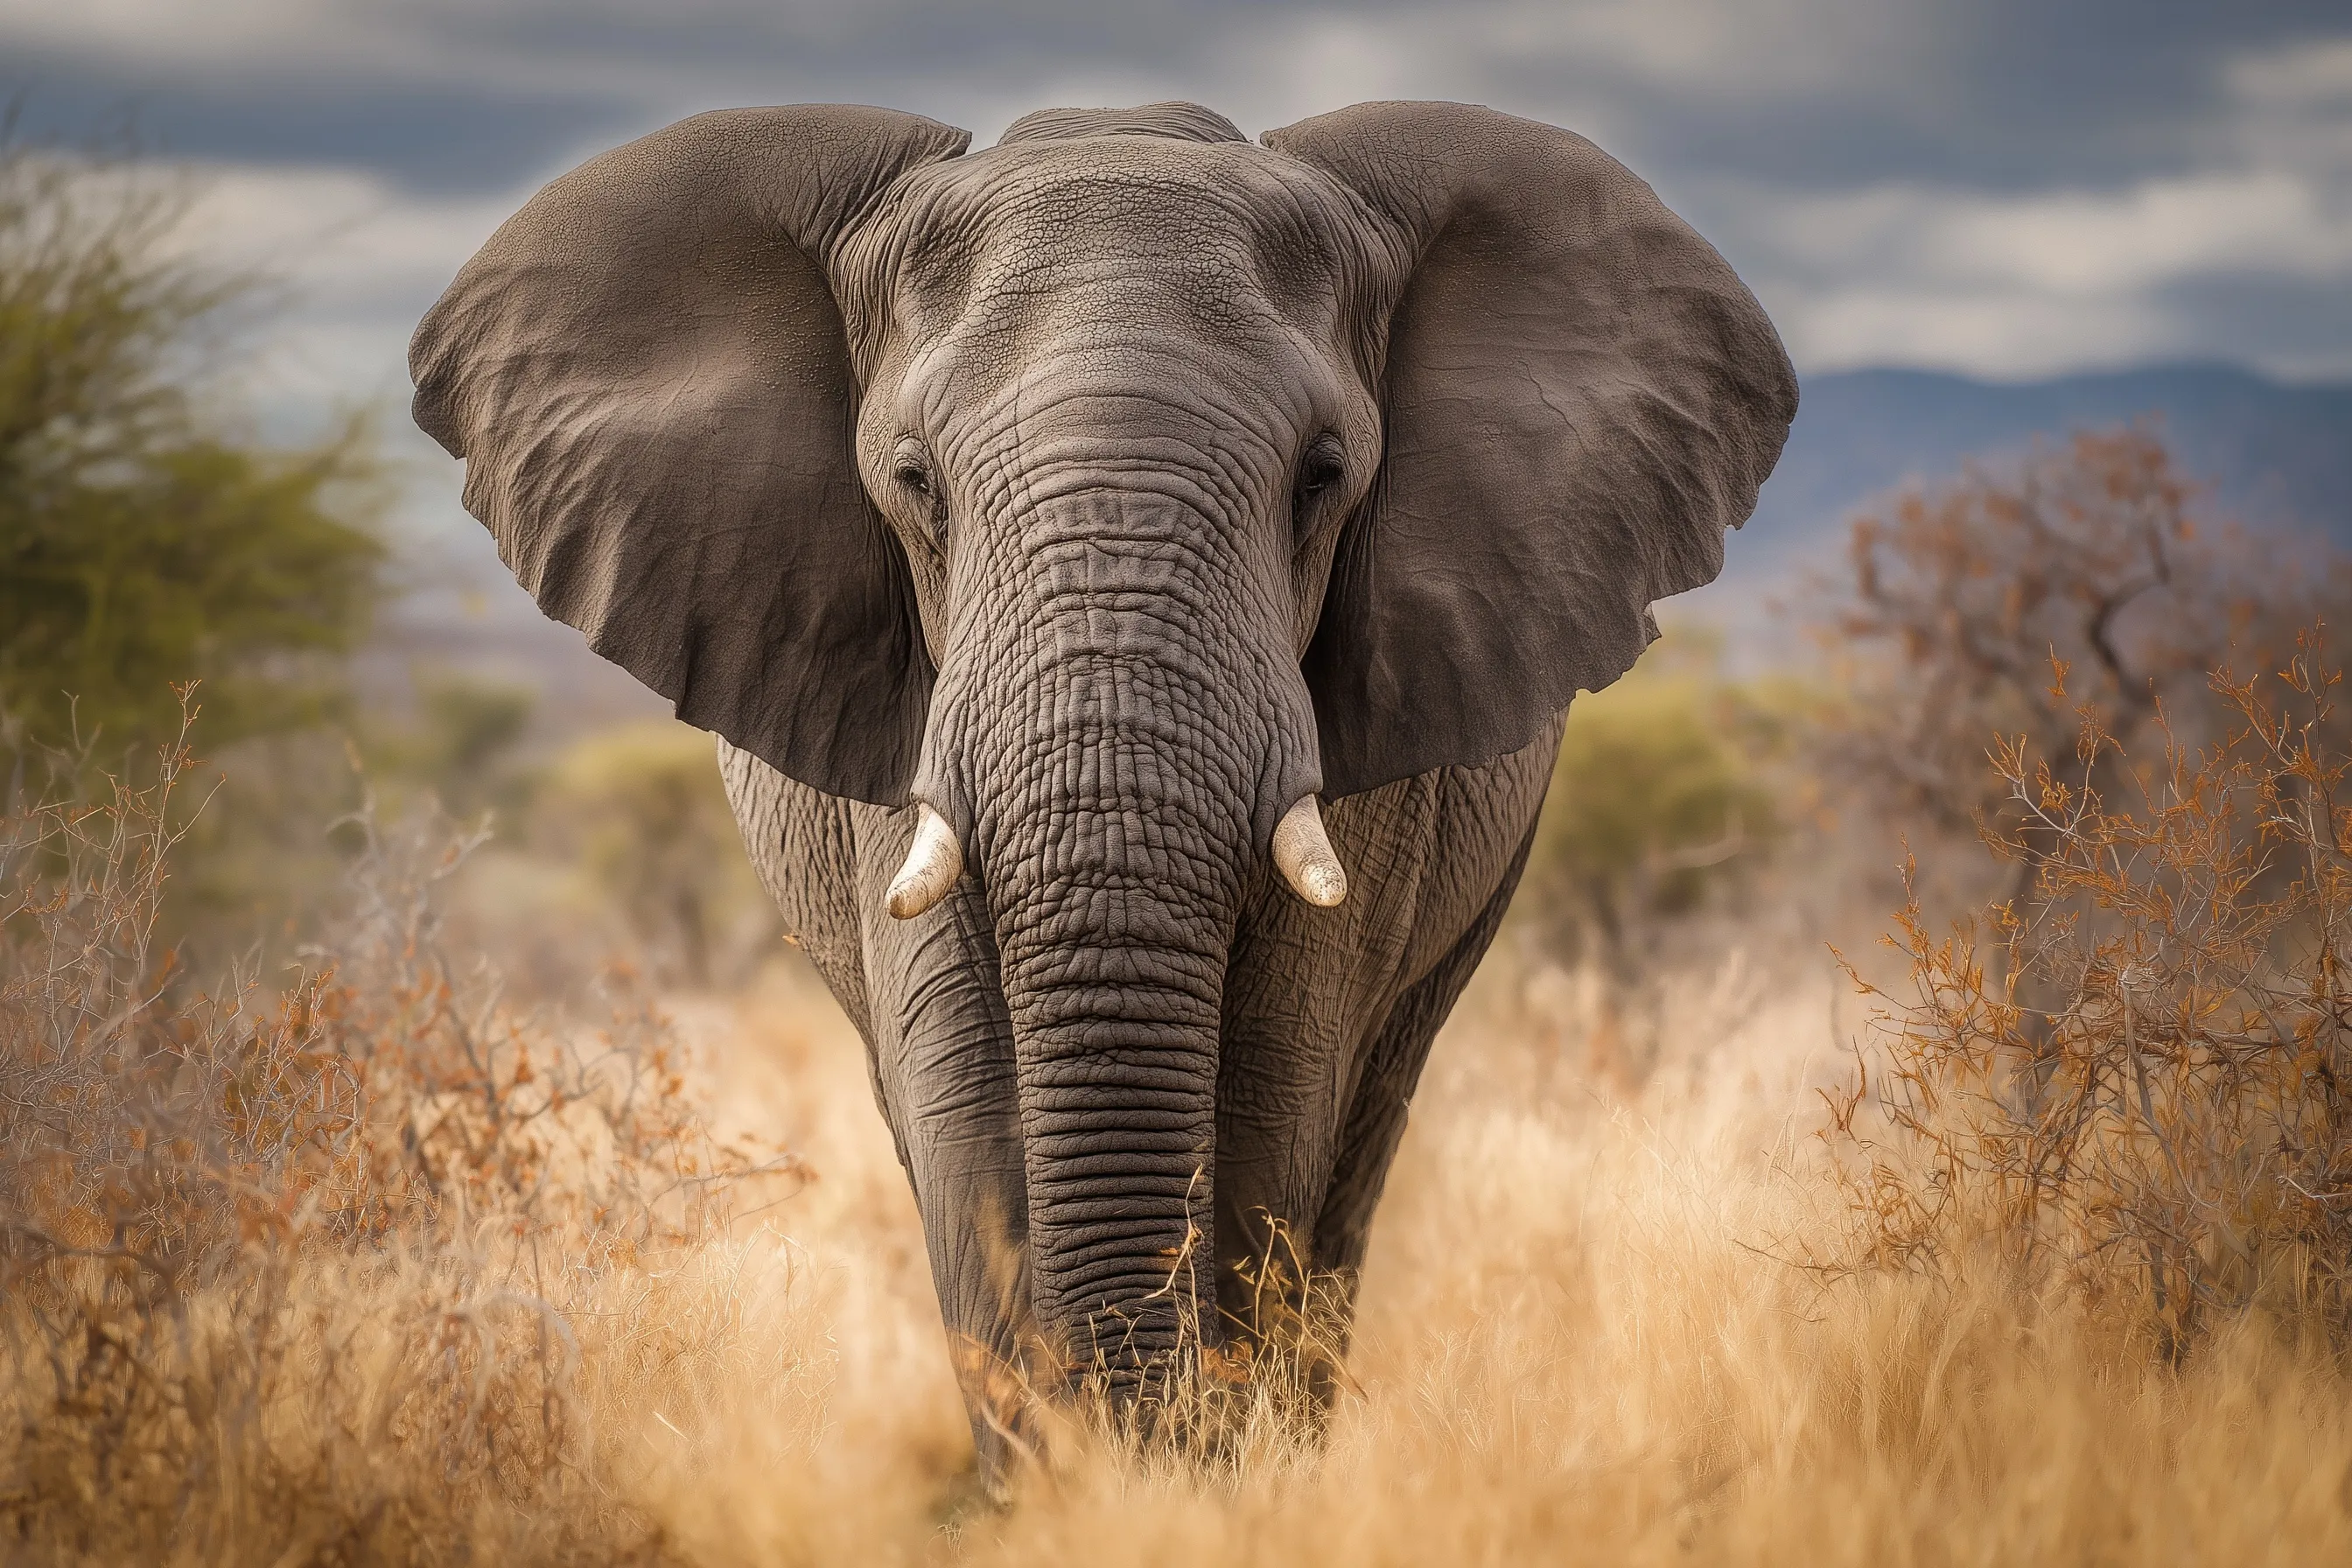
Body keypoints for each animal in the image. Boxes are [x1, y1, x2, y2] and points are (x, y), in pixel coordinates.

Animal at [410, 98, 1795, 1480]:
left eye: (1323, 476)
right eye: (914, 482)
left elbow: (1272, 1107)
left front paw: (1201, 1474)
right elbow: (969, 1115)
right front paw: (1067, 1483)